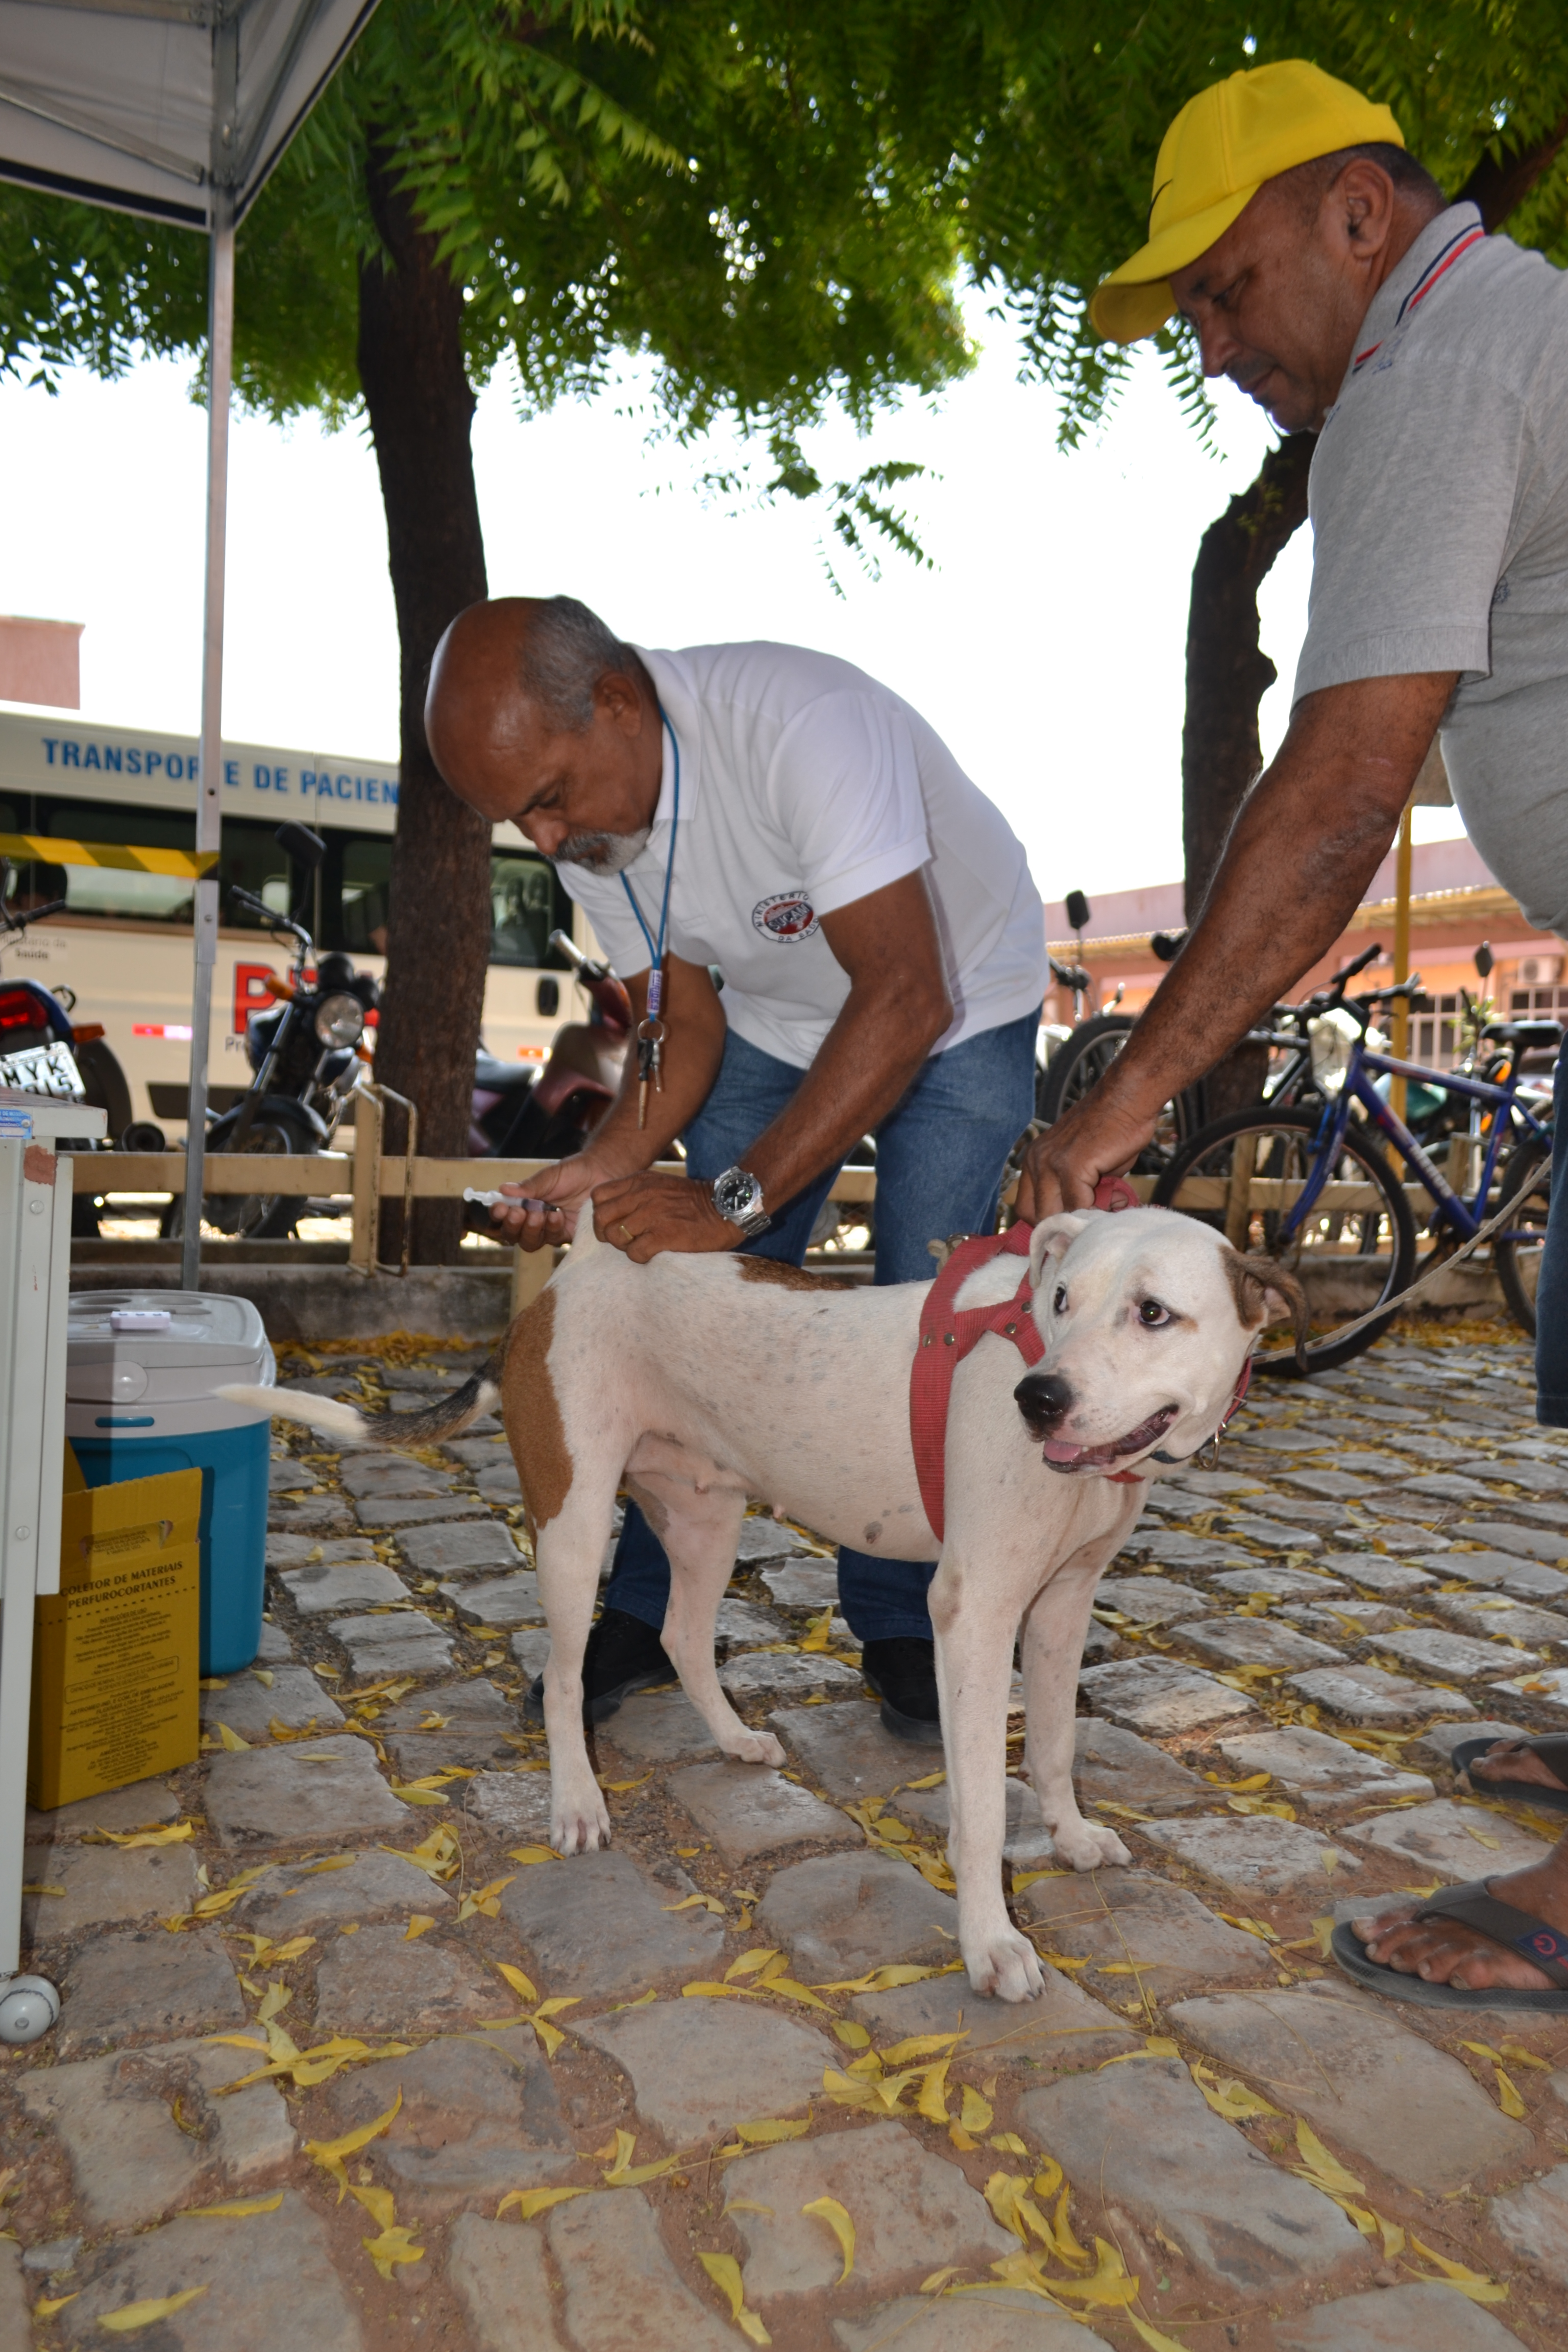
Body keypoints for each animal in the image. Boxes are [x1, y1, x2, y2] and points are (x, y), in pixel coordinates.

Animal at [232, 1213, 1307, 2004]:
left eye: (1154, 1312)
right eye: (1058, 1301)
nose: (1037, 1398)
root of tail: (574, 1269)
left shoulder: (1062, 1605)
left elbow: (1050, 1743)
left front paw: (1072, 1836)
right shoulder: (974, 1612)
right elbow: (978, 1810)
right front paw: (989, 1941)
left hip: (707, 1517)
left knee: (679, 1632)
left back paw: (733, 1739)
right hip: (573, 1521)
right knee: (566, 1672)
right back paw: (577, 1800)